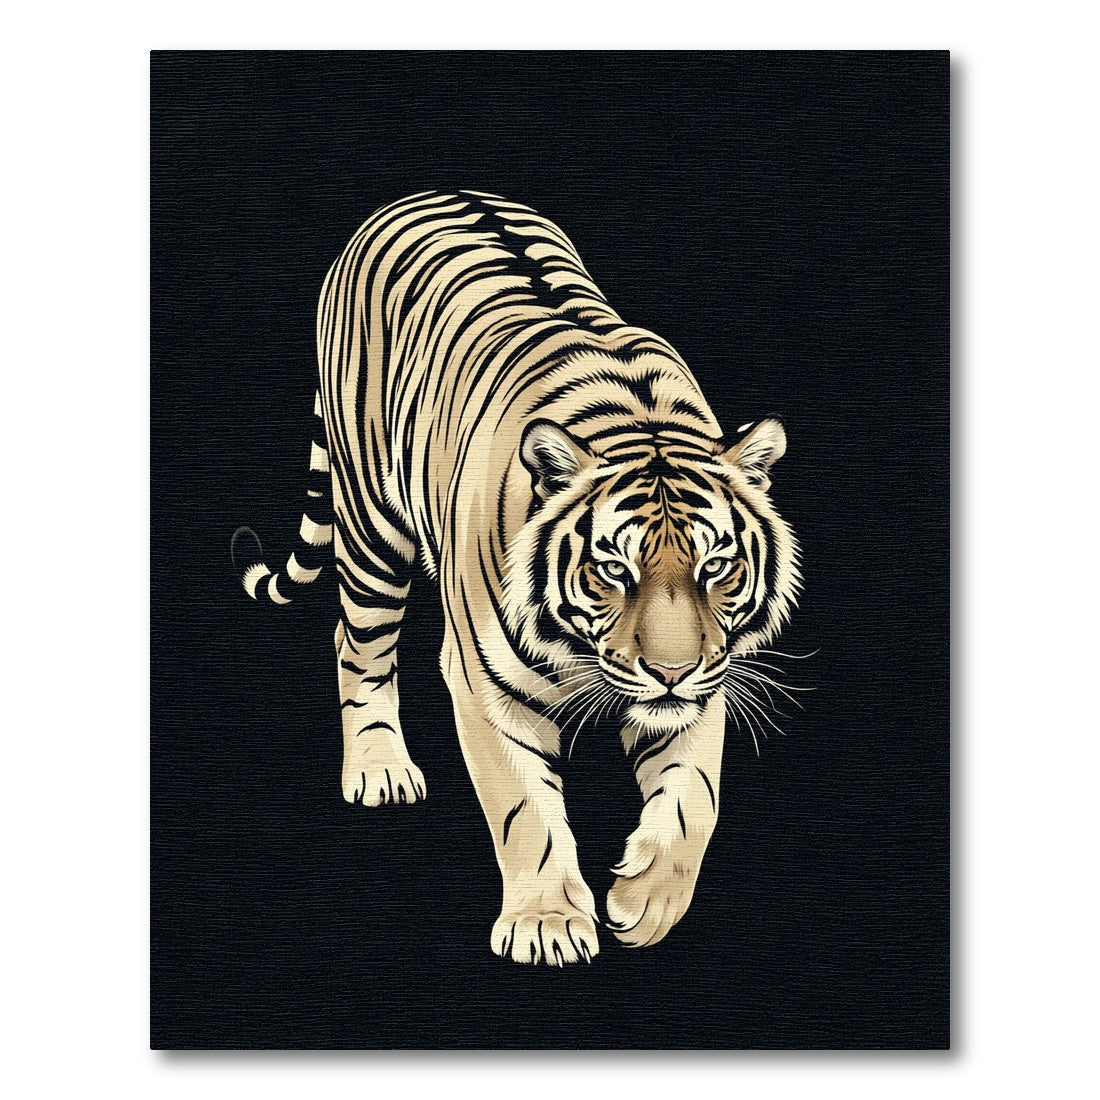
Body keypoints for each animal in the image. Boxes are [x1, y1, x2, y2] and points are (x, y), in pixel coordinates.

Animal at [234, 190, 801, 965]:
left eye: (715, 566)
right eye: (613, 570)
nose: (671, 672)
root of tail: (412, 194)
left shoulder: (707, 684)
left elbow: (693, 799)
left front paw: (646, 902)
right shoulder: (484, 684)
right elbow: (523, 808)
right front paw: (547, 926)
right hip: (372, 529)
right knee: (358, 644)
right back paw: (379, 769)